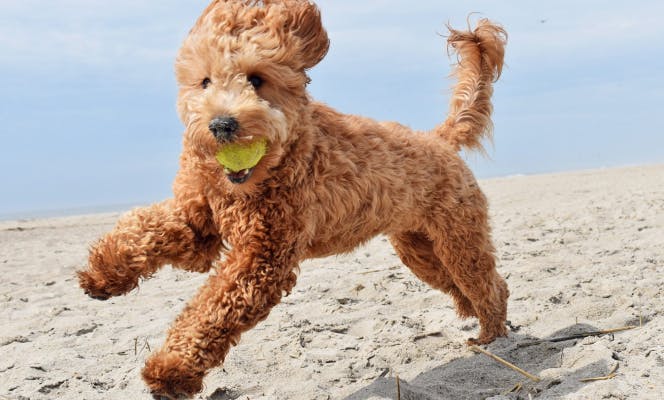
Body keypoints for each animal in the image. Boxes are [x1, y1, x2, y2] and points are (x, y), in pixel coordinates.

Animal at [79, 1, 512, 398]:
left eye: (257, 79)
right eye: (204, 81)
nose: (221, 125)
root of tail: (438, 139)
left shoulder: (263, 257)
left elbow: (212, 310)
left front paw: (171, 369)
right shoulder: (198, 219)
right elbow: (144, 229)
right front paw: (104, 272)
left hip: (459, 239)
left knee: (490, 285)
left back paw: (491, 335)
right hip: (420, 249)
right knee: (463, 284)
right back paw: (474, 318)